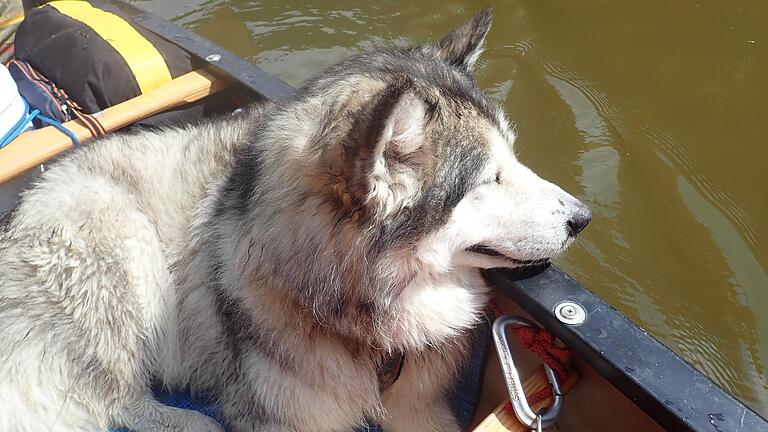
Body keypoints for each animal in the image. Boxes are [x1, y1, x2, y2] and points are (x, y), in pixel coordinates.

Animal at [0, 7, 588, 432]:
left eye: (514, 157)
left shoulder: (421, 405)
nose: (582, 218)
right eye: (489, 179)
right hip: (121, 241)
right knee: (112, 399)